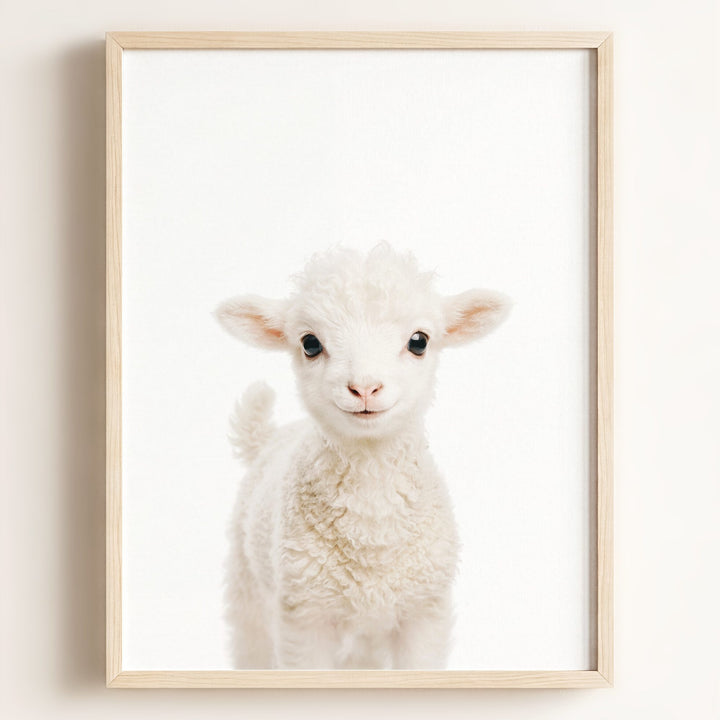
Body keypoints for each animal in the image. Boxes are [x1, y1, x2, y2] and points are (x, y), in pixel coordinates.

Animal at [215, 244, 510, 669]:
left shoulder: (424, 611)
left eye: (419, 341)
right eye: (310, 343)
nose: (365, 387)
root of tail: (269, 437)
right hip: (249, 589)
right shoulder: (304, 617)